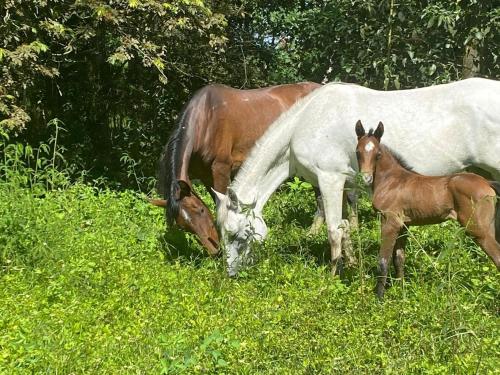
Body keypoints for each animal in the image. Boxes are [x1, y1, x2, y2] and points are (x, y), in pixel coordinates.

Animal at [155, 82, 320, 256]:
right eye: (184, 226)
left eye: (200, 210)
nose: (215, 252)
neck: (206, 120)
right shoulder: (205, 176)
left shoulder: (221, 169)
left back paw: (313, 233)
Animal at [214, 78, 500, 280]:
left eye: (236, 234)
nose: (231, 274)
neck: (305, 123)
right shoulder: (343, 183)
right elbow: (346, 226)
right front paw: (351, 264)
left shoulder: (329, 179)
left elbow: (333, 229)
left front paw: (335, 276)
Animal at [356, 120, 500, 300]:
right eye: (358, 152)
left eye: (378, 154)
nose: (366, 178)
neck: (390, 181)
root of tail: (487, 183)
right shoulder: (403, 225)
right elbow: (399, 258)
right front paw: (402, 295)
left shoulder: (390, 222)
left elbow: (383, 260)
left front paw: (379, 299)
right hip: (489, 227)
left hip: (478, 230)